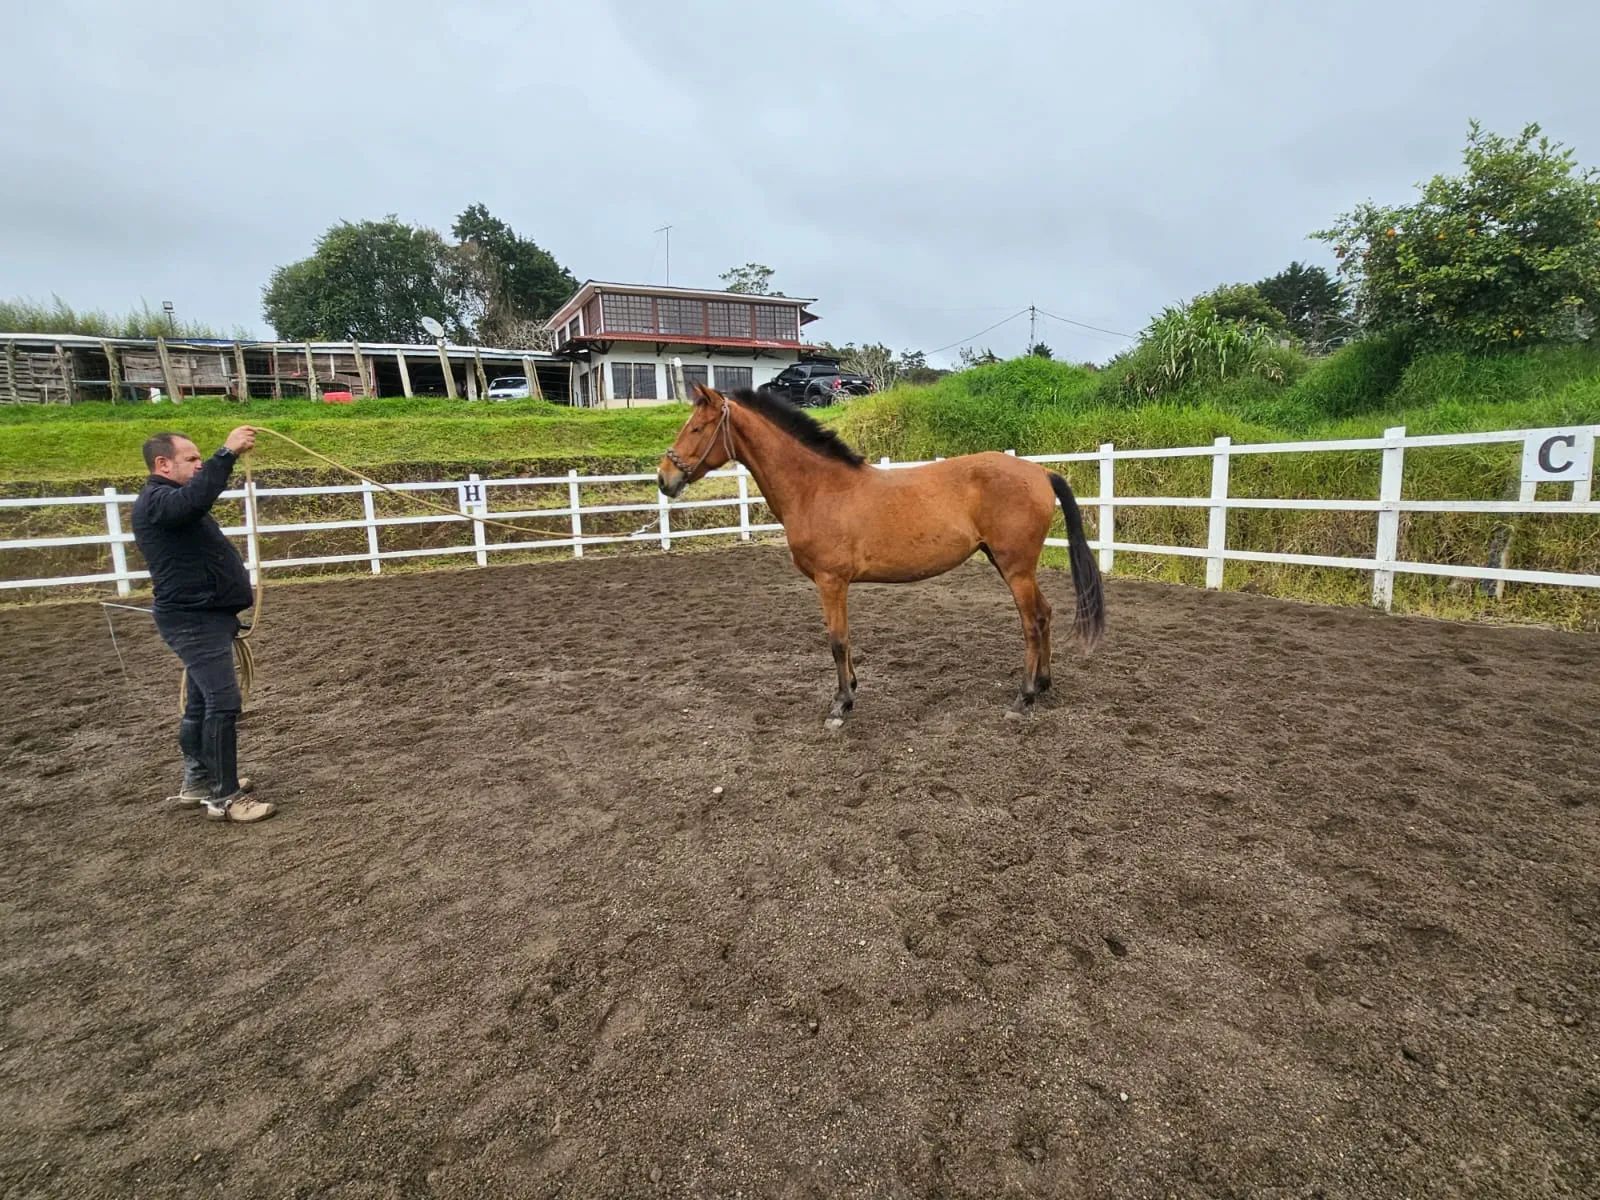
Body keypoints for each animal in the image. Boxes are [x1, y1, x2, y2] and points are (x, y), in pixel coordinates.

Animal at [657, 384, 1105, 726]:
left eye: (697, 427)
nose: (664, 478)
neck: (817, 488)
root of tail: (1040, 472)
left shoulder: (831, 581)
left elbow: (837, 640)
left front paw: (840, 705)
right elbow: (843, 638)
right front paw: (851, 689)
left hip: (1015, 568)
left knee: (1031, 623)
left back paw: (1023, 698)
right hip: (1008, 563)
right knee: (1045, 614)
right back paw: (1043, 685)